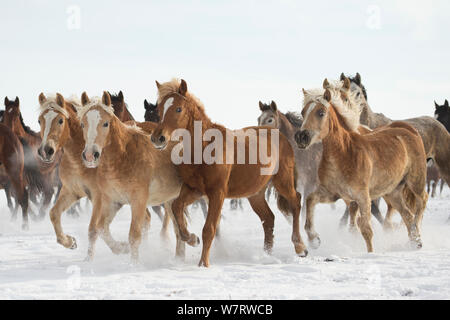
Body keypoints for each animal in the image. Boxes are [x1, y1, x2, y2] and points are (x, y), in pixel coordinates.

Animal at [78, 91, 187, 262]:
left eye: (105, 124)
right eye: (83, 124)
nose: (90, 155)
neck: (124, 156)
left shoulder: (138, 201)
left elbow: (134, 236)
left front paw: (134, 264)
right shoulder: (112, 201)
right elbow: (101, 228)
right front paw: (122, 248)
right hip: (172, 200)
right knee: (179, 228)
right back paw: (181, 256)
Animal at [151, 78, 306, 268]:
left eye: (178, 109)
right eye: (159, 109)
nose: (158, 138)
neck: (205, 148)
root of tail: (283, 137)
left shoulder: (217, 193)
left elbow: (209, 229)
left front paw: (203, 264)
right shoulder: (194, 190)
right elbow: (177, 207)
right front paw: (192, 238)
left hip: (282, 181)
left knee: (296, 202)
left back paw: (300, 247)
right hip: (255, 194)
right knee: (269, 219)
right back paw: (267, 255)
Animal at [296, 77, 428, 252]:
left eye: (321, 112)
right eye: (303, 112)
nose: (301, 137)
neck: (344, 154)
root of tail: (409, 129)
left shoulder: (362, 196)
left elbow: (366, 228)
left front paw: (370, 253)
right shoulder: (333, 194)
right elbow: (310, 200)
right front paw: (314, 239)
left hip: (415, 181)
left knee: (421, 201)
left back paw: (417, 234)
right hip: (392, 192)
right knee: (407, 214)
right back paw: (415, 242)